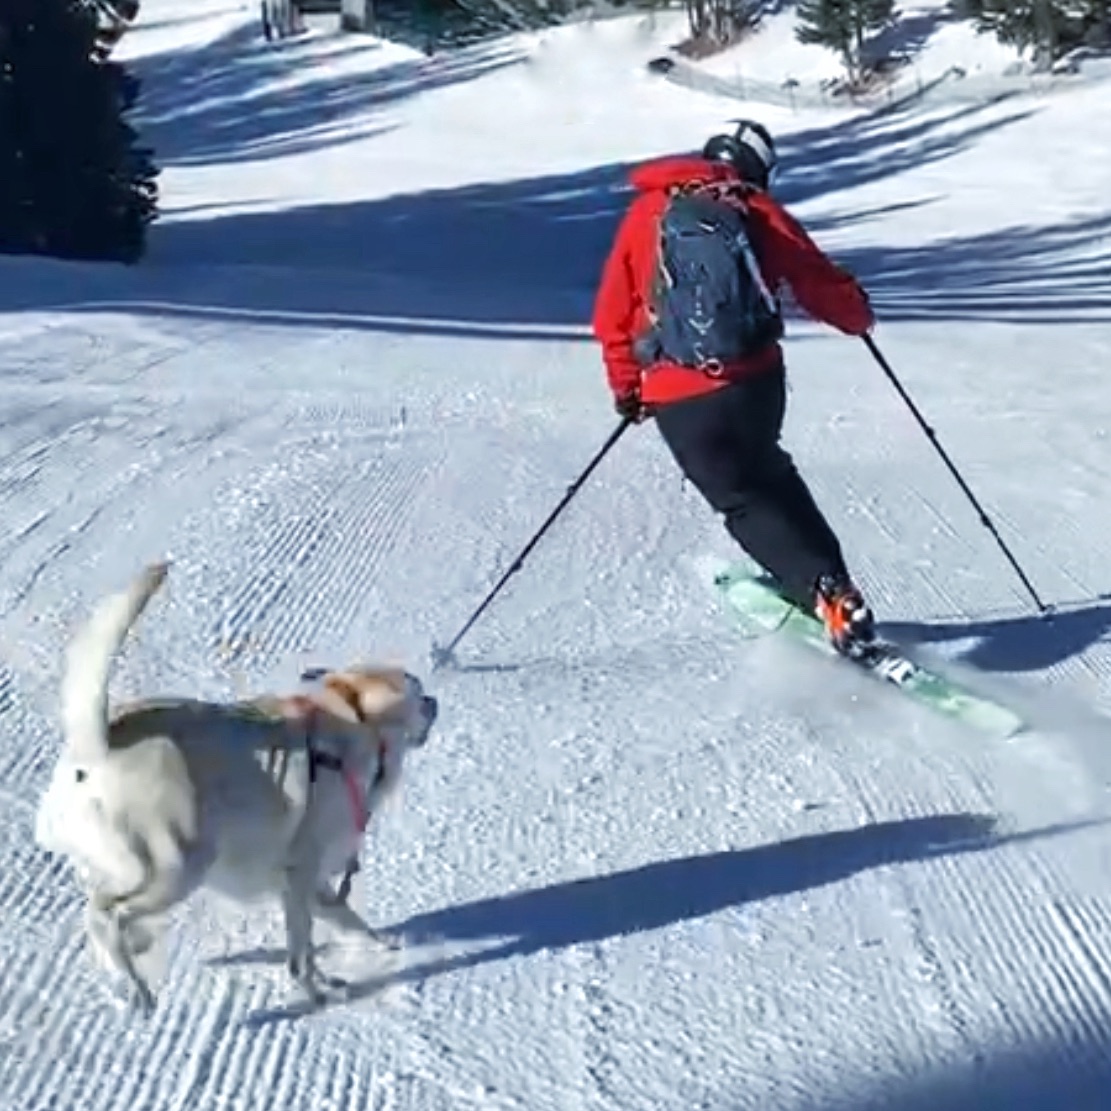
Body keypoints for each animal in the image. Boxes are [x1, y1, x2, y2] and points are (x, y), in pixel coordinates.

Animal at [33, 564, 437, 1017]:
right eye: (419, 692)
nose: (434, 701)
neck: (351, 723)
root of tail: (94, 750)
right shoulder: (300, 877)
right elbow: (301, 954)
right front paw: (317, 993)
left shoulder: (308, 889)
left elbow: (339, 926)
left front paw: (357, 960)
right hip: (177, 867)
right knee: (104, 914)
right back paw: (138, 986)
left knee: (103, 913)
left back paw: (129, 958)